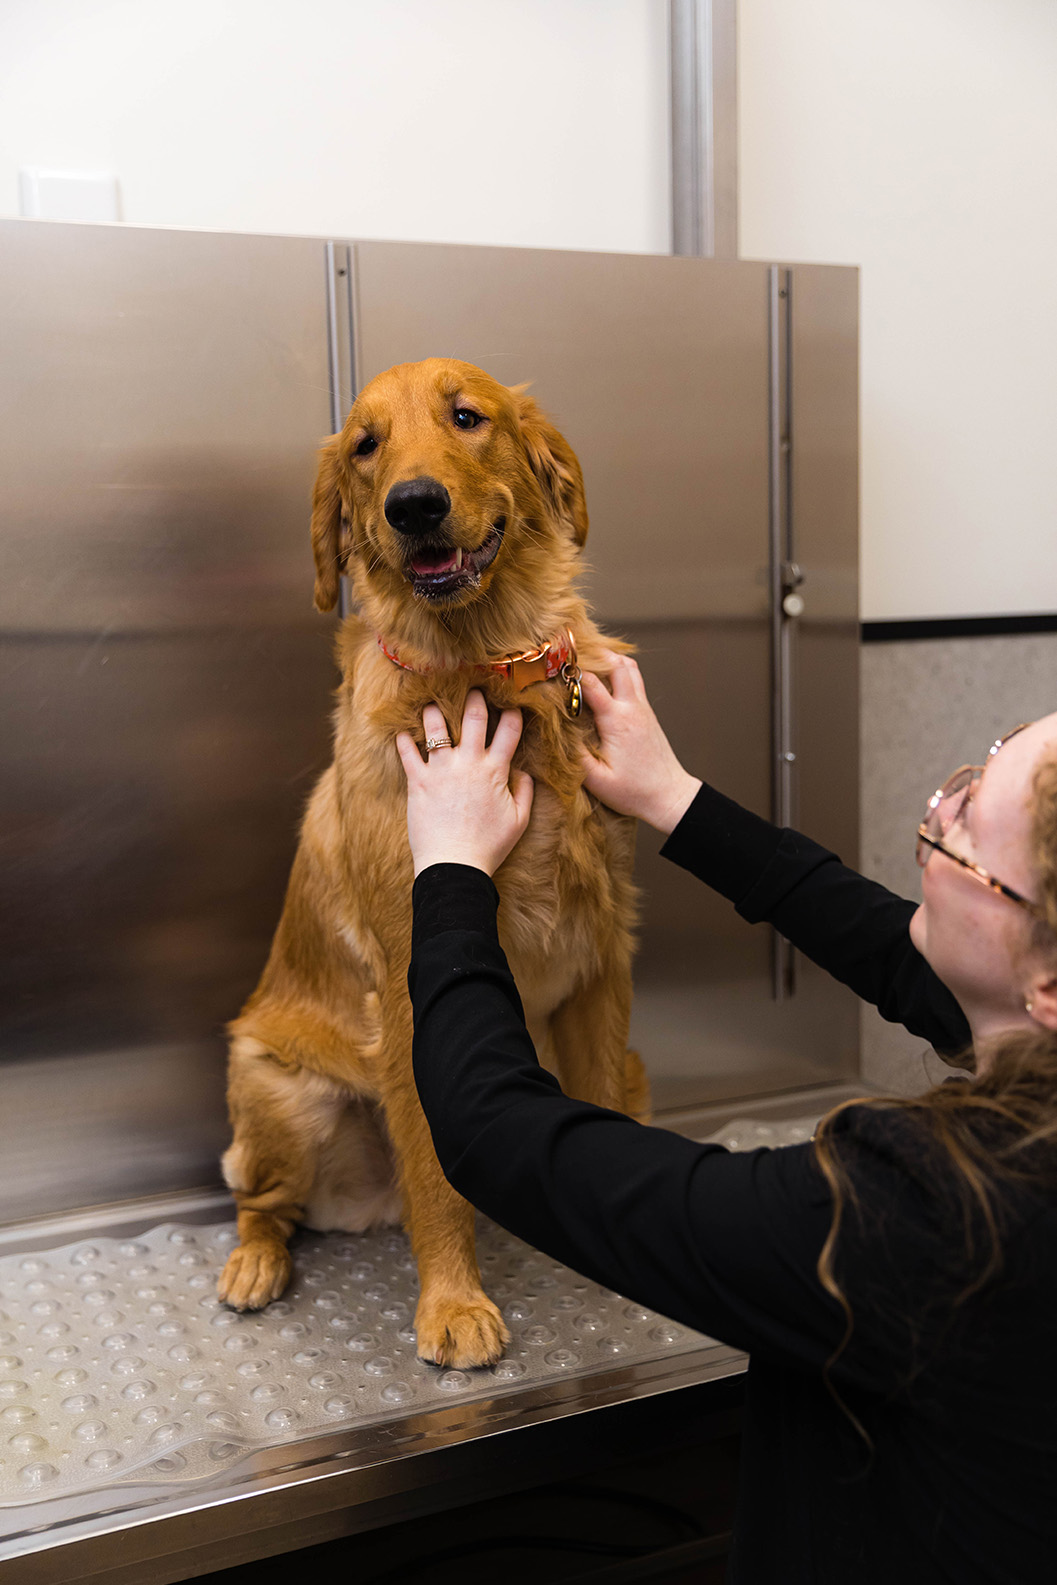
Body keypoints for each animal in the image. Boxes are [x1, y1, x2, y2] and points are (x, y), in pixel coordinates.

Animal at [218, 356, 646, 1363]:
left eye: (466, 417)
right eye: (365, 444)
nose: (413, 504)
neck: (484, 665)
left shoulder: (601, 963)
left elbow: (605, 1103)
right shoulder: (415, 993)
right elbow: (434, 1179)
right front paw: (452, 1304)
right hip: (273, 1084)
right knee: (261, 1201)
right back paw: (253, 1264)